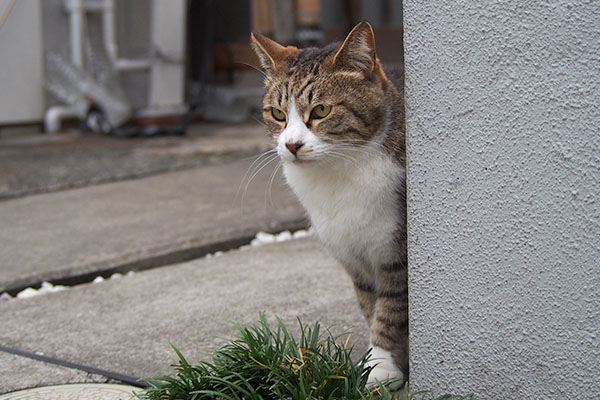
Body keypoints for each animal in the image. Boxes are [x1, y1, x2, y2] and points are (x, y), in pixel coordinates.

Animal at [251, 21, 410, 384]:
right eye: (277, 114)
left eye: (321, 110)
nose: (291, 144)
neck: (337, 175)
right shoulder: (353, 256)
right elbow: (369, 305)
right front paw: (376, 362)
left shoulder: (398, 255)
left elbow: (391, 310)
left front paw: (381, 367)